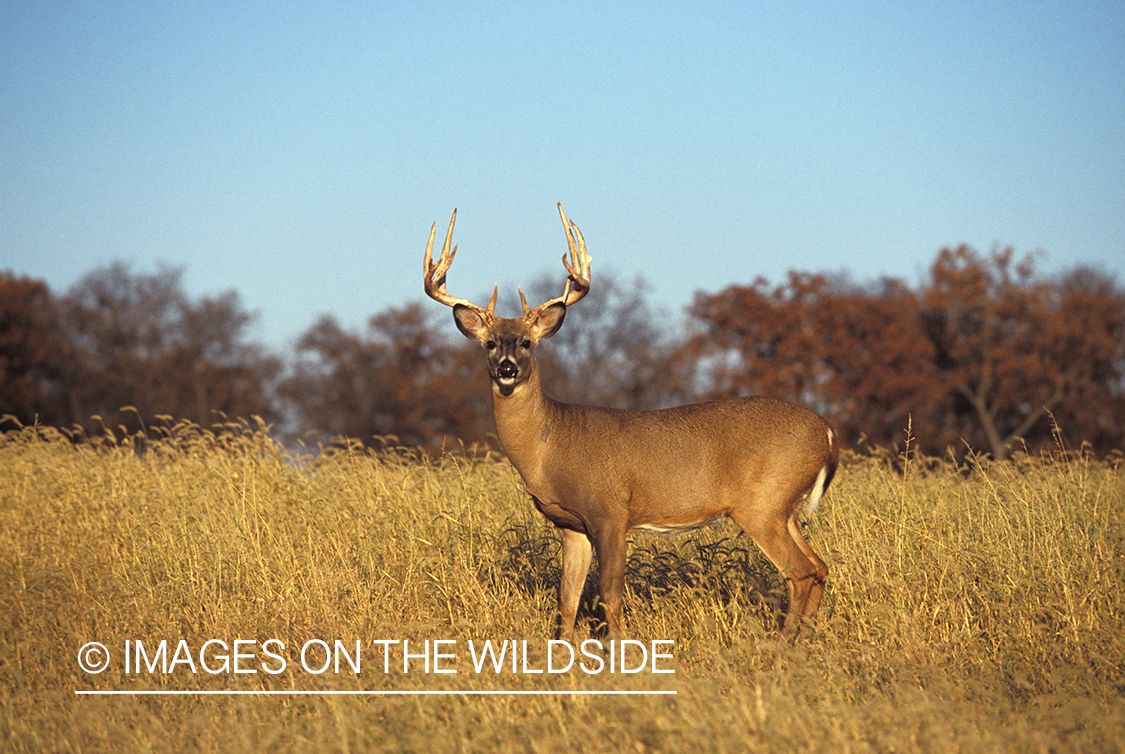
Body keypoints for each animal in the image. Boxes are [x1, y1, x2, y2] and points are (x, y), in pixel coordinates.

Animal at [423, 203, 837, 639]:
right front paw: (562, 652)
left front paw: (619, 649)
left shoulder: (611, 512)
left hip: (763, 502)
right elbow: (568, 599)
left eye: (526, 342)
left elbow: (610, 594)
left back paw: (784, 644)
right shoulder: (571, 525)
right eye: (489, 343)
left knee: (801, 571)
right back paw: (803, 639)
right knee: (819, 567)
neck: (549, 448)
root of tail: (827, 433)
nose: (506, 368)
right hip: (785, 508)